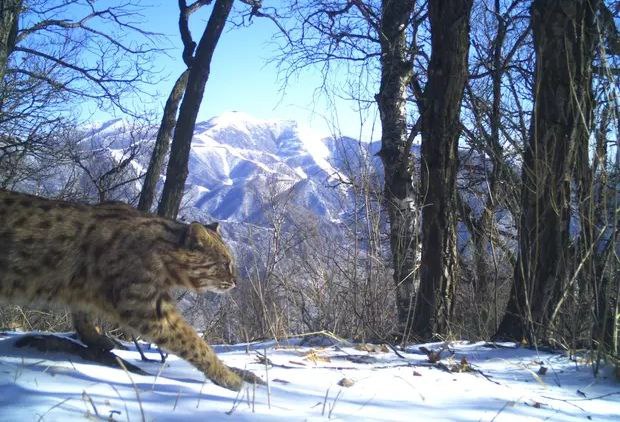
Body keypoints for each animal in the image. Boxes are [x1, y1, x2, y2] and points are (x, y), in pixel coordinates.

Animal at [0, 190, 258, 390]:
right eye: (225, 263)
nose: (236, 281)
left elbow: (83, 314)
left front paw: (95, 338)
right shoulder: (146, 307)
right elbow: (194, 341)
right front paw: (228, 377)